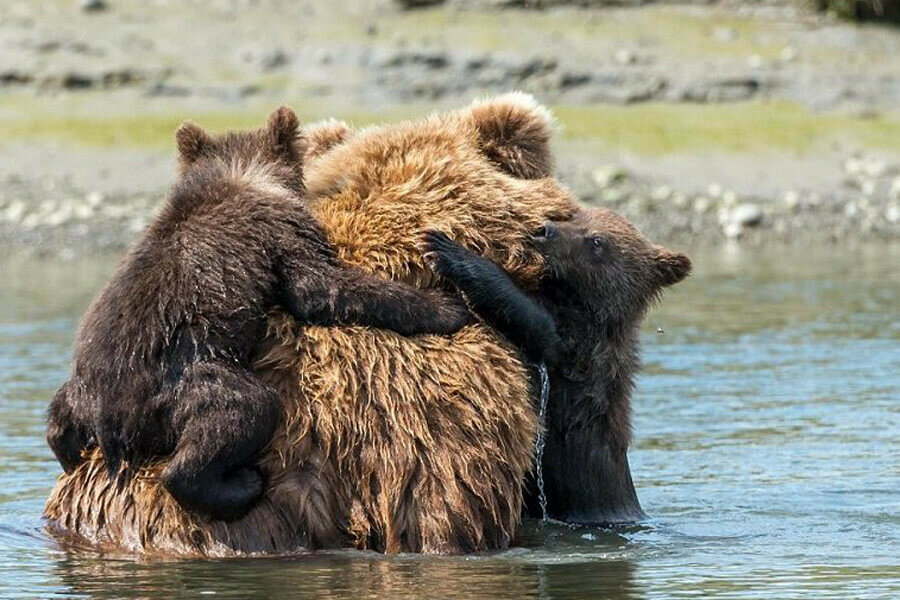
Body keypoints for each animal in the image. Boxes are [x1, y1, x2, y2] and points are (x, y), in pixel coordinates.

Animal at [44, 93, 584, 556]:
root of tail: (113, 422)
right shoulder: (434, 433)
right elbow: (321, 288)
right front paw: (444, 306)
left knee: (61, 422)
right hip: (198, 394)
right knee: (237, 419)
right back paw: (232, 483)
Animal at [422, 207, 692, 524]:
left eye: (597, 240)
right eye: (578, 216)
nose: (545, 230)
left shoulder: (577, 351)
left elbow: (529, 318)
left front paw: (445, 250)